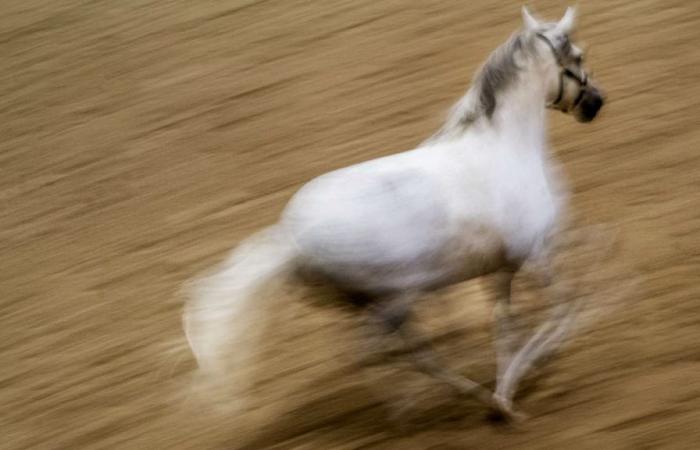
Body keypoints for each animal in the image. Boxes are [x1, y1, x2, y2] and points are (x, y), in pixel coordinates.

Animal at [183, 5, 604, 420]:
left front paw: (508, 386)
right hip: (394, 301)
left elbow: (508, 322)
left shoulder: (502, 268)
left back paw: (458, 396)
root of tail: (291, 241)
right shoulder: (534, 253)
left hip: (380, 304)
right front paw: (519, 383)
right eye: (578, 56)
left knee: (401, 353)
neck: (505, 147)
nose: (596, 102)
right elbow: (561, 310)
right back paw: (428, 405)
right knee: (382, 353)